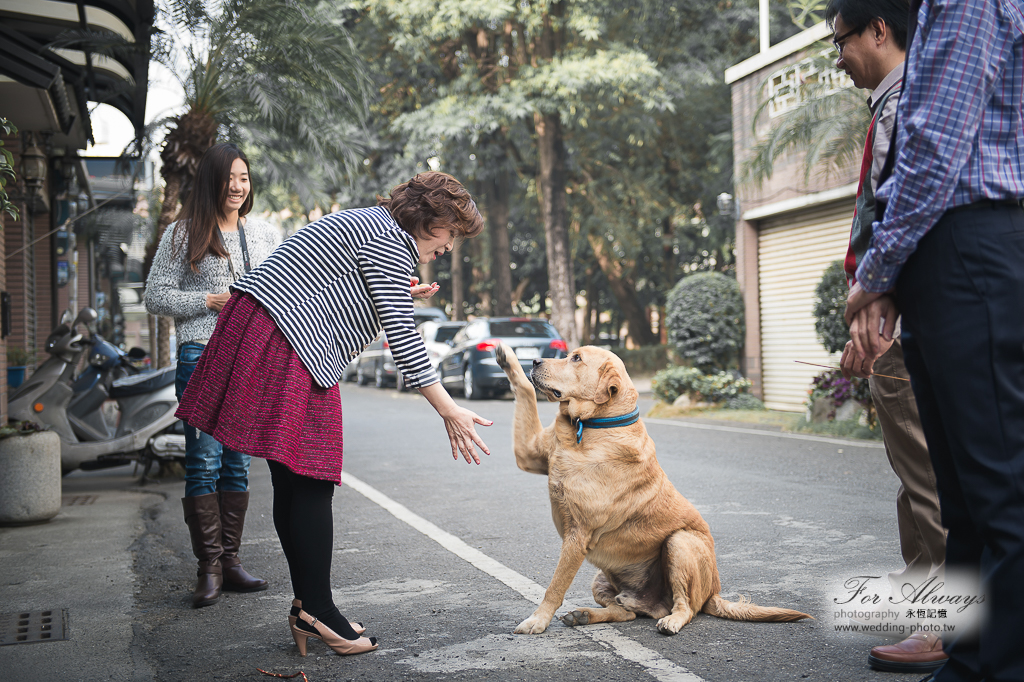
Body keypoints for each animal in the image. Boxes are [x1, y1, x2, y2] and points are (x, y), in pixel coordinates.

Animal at [491, 342, 811, 634]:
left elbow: (555, 586)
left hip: (679, 543)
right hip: (602, 579)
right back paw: (585, 615)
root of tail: (714, 593)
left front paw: (537, 620)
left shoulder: (577, 535)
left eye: (577, 358)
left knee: (686, 608)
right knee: (625, 612)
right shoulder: (527, 454)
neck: (592, 426)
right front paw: (508, 357)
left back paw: (671, 621)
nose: (535, 361)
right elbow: (526, 391)